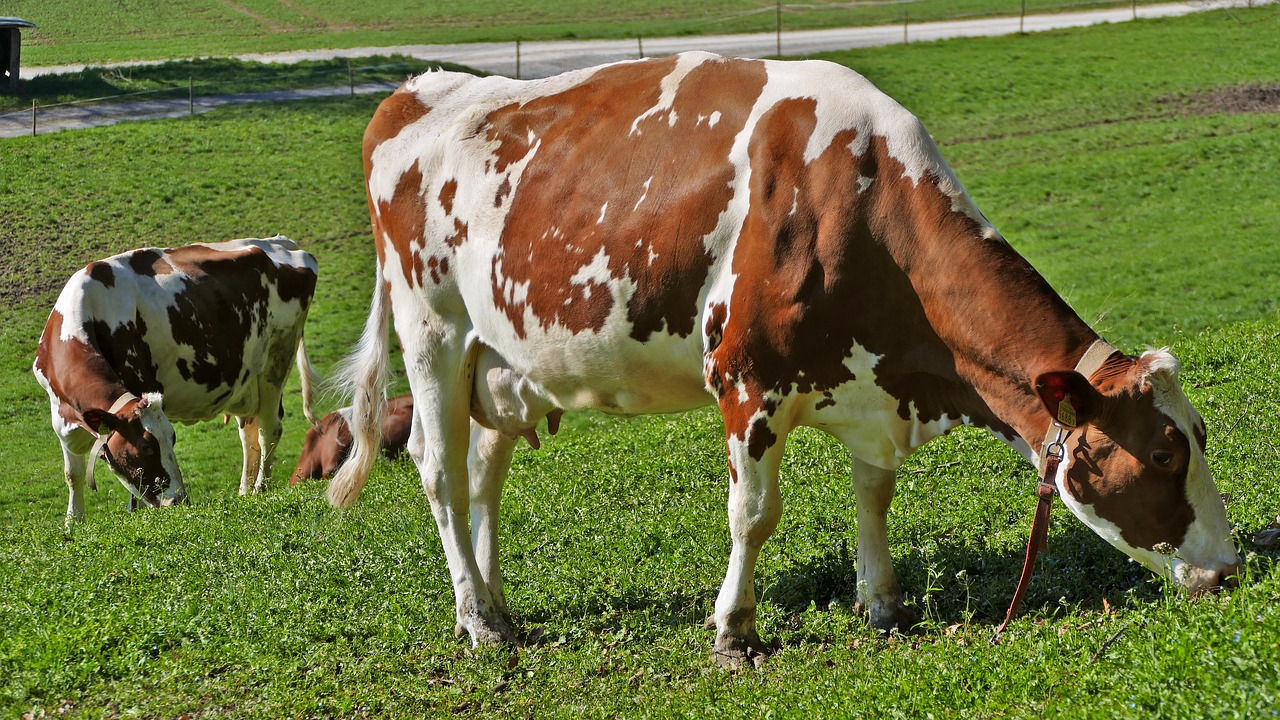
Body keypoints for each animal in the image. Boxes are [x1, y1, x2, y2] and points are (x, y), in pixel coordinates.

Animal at [35, 235, 320, 520]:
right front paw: (73, 523)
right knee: (249, 435)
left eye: (172, 439)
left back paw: (261, 488)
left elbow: (134, 497)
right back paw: (245, 493)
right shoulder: (61, 418)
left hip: (276, 360)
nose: (178, 501)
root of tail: (280, 242)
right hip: (246, 382)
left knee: (268, 429)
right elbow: (73, 475)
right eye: (147, 447)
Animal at [327, 53, 1239, 666]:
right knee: (440, 472)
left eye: (1199, 435)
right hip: (431, 331)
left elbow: (875, 494)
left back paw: (493, 604)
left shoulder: (870, 389)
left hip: (500, 360)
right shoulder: (746, 380)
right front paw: (734, 629)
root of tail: (416, 88)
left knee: (483, 474)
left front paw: (882, 602)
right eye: (1164, 453)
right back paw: (480, 624)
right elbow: (753, 515)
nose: (1231, 572)